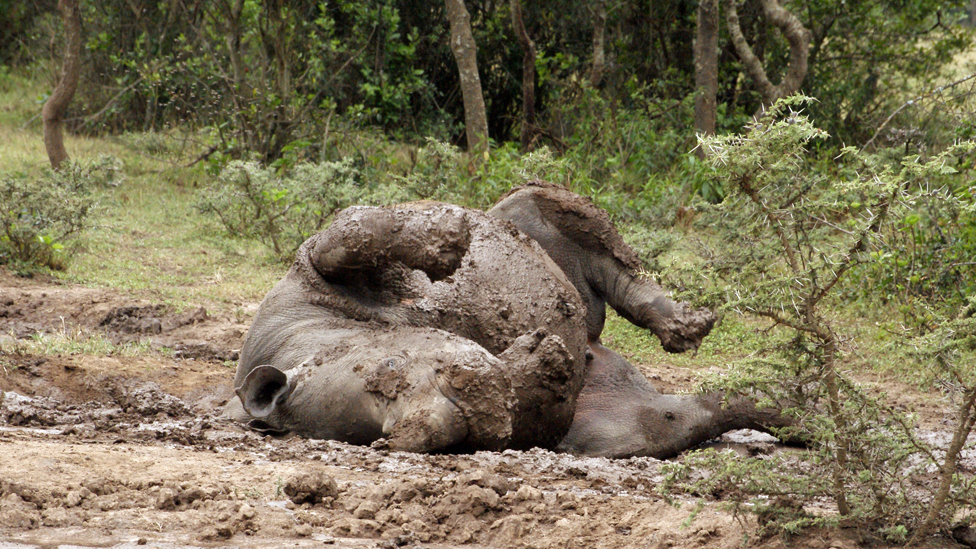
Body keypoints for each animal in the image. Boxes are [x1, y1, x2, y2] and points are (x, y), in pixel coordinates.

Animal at [227, 182, 792, 456]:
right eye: (371, 433)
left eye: (387, 375)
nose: (448, 415)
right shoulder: (554, 422)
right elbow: (530, 388)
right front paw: (535, 360)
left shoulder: (315, 269)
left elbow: (351, 232)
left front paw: (447, 240)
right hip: (633, 427)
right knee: (709, 407)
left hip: (527, 211)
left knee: (600, 247)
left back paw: (687, 325)